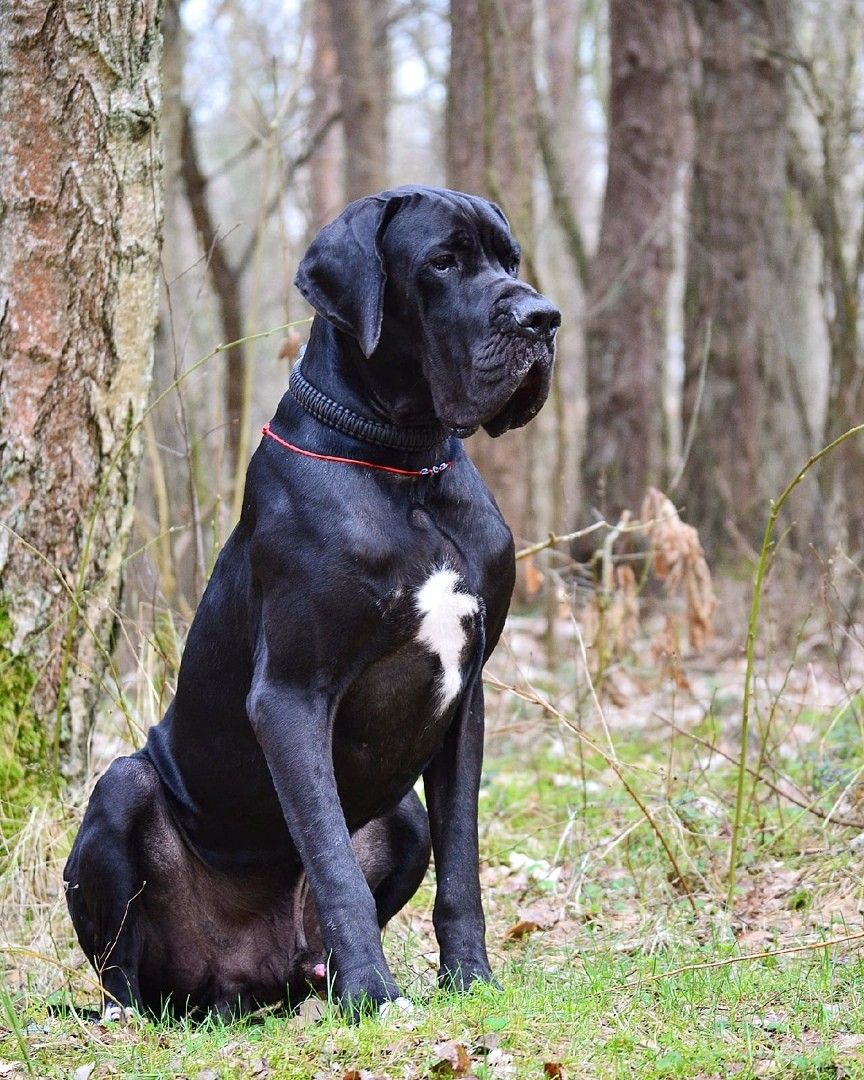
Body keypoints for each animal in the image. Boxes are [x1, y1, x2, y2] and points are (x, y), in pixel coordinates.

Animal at [64, 186, 560, 1018]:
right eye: (442, 261)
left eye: (510, 260)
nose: (543, 318)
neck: (404, 465)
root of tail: (228, 987)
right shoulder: (292, 696)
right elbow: (331, 863)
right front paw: (375, 992)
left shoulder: (466, 701)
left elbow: (461, 866)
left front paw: (469, 978)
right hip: (122, 790)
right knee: (120, 969)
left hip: (400, 816)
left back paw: (315, 988)